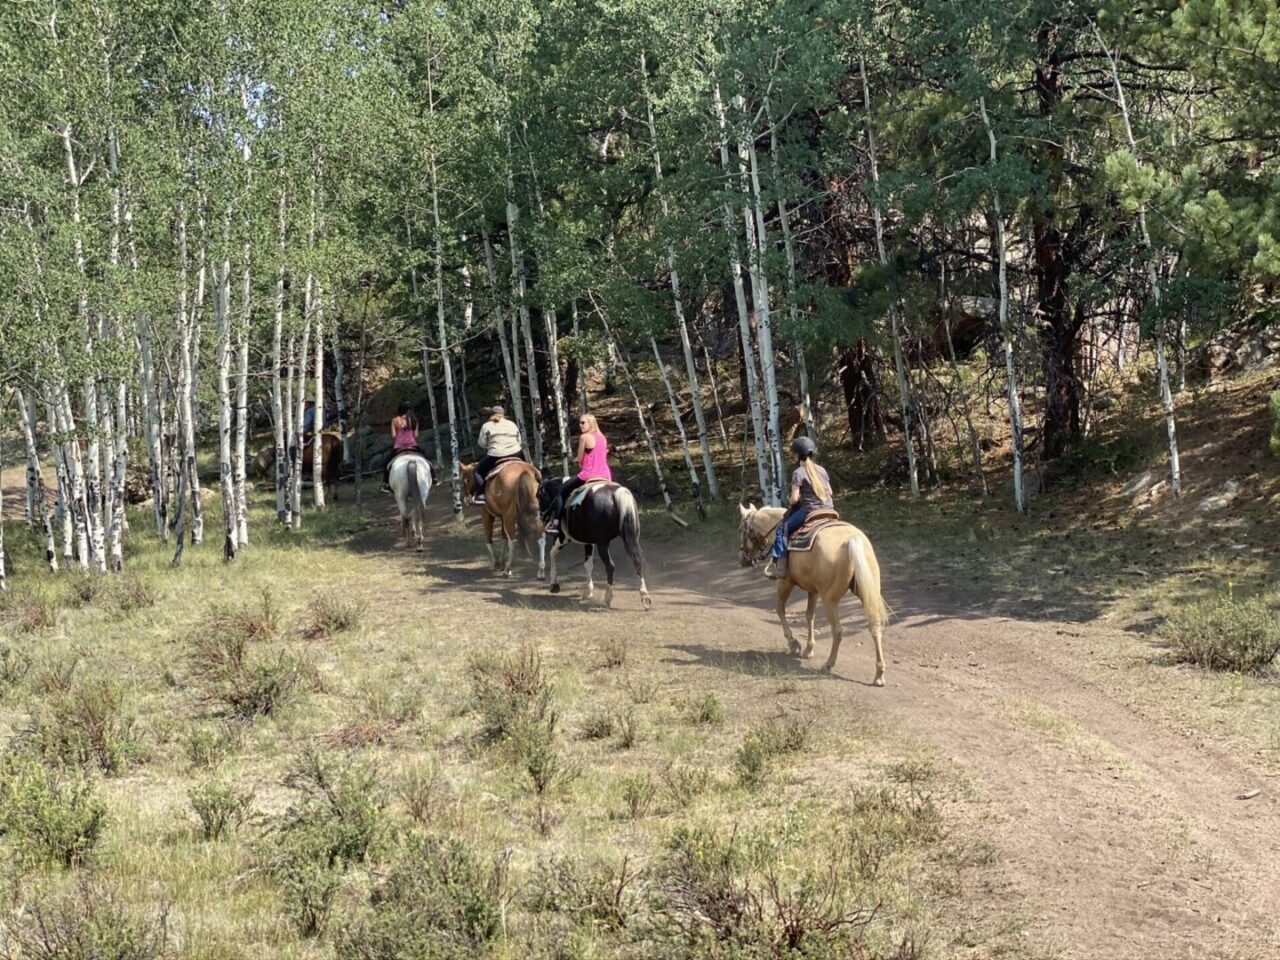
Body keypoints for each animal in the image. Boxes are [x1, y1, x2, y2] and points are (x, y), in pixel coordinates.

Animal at [537, 478, 650, 611]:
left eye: (539, 496)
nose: (541, 516)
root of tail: (618, 492)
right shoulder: (589, 542)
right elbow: (588, 564)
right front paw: (588, 591)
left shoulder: (563, 537)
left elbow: (552, 554)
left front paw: (554, 585)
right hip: (631, 538)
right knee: (637, 561)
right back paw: (645, 597)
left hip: (602, 543)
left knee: (610, 566)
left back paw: (608, 598)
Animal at [742, 504, 890, 686]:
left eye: (742, 529)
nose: (744, 560)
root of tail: (852, 540)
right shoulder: (813, 590)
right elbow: (809, 615)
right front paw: (808, 649)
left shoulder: (785, 582)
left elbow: (780, 609)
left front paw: (794, 643)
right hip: (866, 593)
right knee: (874, 627)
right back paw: (879, 674)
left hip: (829, 599)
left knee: (838, 630)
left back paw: (829, 664)